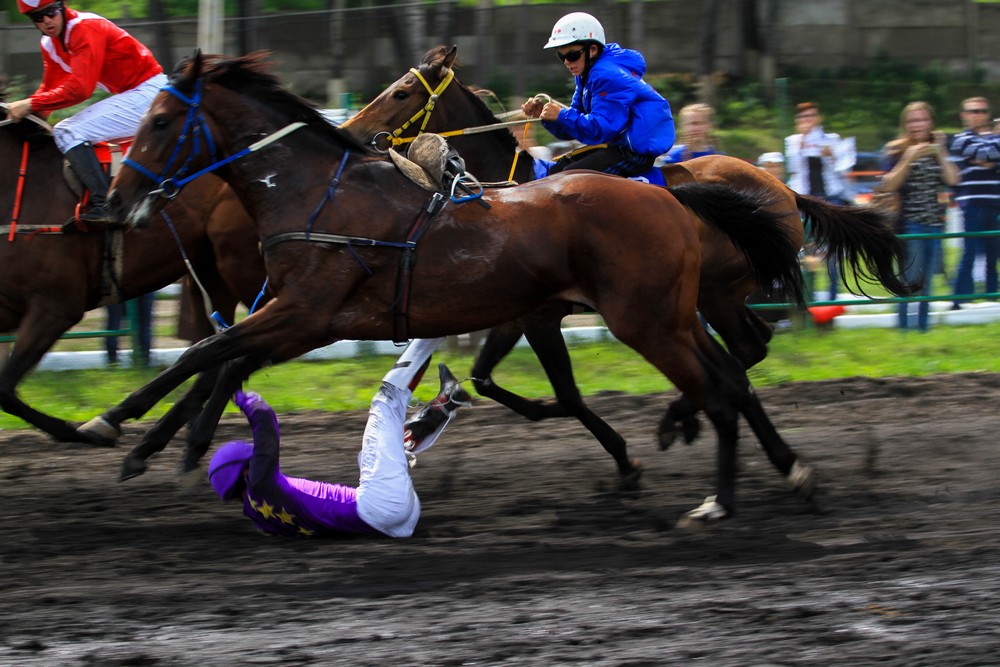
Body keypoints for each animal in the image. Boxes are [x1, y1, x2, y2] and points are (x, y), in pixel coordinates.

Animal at [0, 102, 266, 444]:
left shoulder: (54, 308)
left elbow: (5, 388)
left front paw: (74, 431)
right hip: (210, 275)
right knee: (217, 356)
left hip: (245, 269)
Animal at [90, 52, 812, 520]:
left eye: (159, 122)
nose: (116, 201)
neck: (317, 194)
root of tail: (675, 198)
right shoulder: (309, 321)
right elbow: (219, 360)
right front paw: (165, 442)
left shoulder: (305, 312)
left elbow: (205, 353)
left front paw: (120, 426)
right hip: (678, 314)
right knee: (733, 375)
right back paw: (780, 465)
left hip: (653, 320)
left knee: (722, 384)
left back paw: (718, 493)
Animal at [344, 44, 916, 474]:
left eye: (400, 91)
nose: (351, 132)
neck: (510, 197)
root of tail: (786, 191)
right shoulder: (521, 313)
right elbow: (486, 378)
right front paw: (435, 415)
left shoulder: (538, 315)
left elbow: (564, 394)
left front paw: (620, 454)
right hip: (716, 296)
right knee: (751, 346)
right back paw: (693, 417)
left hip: (717, 293)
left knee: (746, 349)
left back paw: (680, 419)